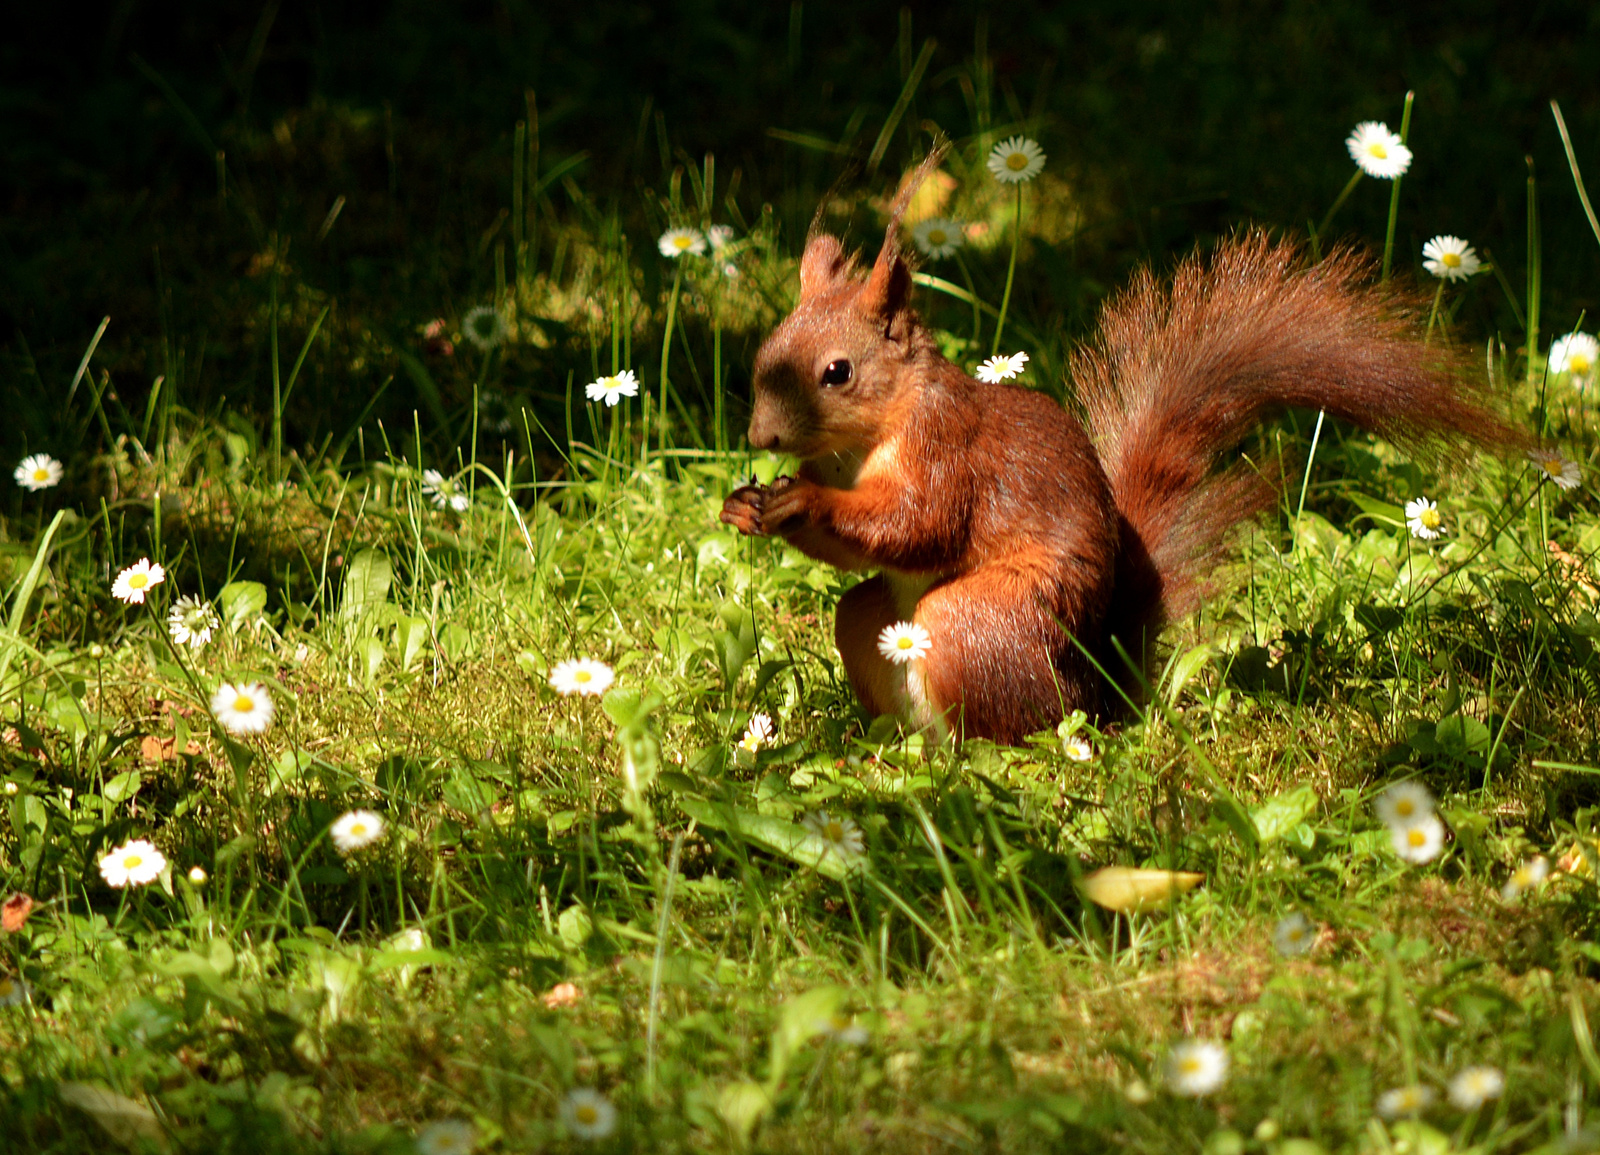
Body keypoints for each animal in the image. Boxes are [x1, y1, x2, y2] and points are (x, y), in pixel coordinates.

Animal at [720, 152, 1516, 742]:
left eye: (837, 371)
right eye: (763, 351)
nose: (760, 437)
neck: (870, 436)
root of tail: (1099, 699)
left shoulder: (948, 450)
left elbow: (918, 523)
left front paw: (802, 500)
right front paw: (746, 505)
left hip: (978, 623)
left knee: (1004, 723)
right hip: (872, 622)